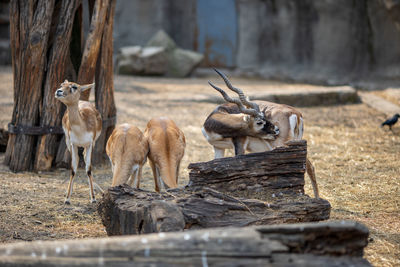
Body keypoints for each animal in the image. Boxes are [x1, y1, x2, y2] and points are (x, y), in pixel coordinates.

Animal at [202, 69, 320, 199]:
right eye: (259, 121)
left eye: (264, 117)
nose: (276, 130)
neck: (218, 115)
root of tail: (296, 113)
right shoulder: (218, 147)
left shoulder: (240, 145)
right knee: (309, 166)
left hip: (282, 146)